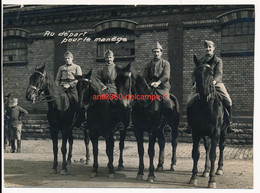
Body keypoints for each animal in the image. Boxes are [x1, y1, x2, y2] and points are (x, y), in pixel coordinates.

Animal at [187, 55, 228, 188]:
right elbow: (196, 153)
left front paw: (212, 180)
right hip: (205, 134)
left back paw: (219, 169)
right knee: (207, 147)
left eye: (211, 73)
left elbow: (213, 155)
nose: (205, 95)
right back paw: (206, 170)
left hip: (224, 131)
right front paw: (193, 177)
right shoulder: (196, 132)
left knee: (221, 147)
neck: (206, 107)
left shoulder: (215, 132)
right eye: (196, 73)